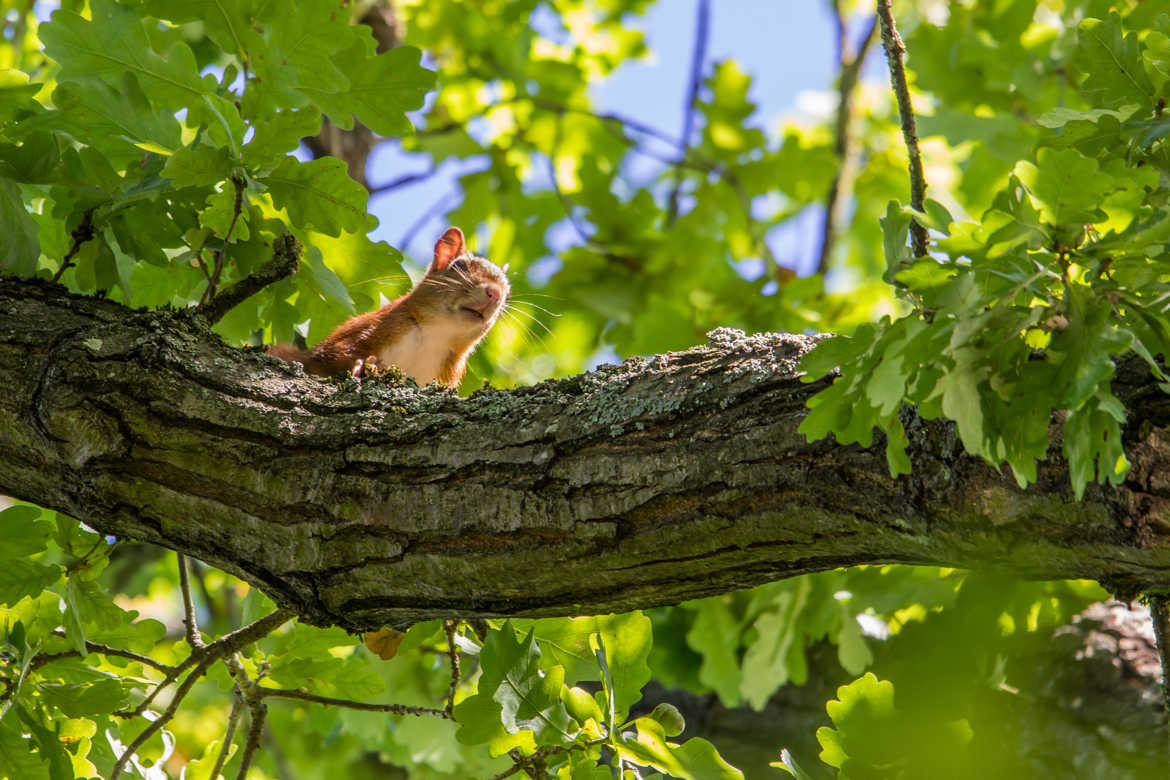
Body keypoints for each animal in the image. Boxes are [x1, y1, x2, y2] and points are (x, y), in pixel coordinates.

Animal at [273, 225, 512, 388]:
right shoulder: (374, 326)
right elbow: (330, 353)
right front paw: (361, 364)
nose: (495, 294)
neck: (435, 337)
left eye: (508, 293)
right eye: (459, 265)